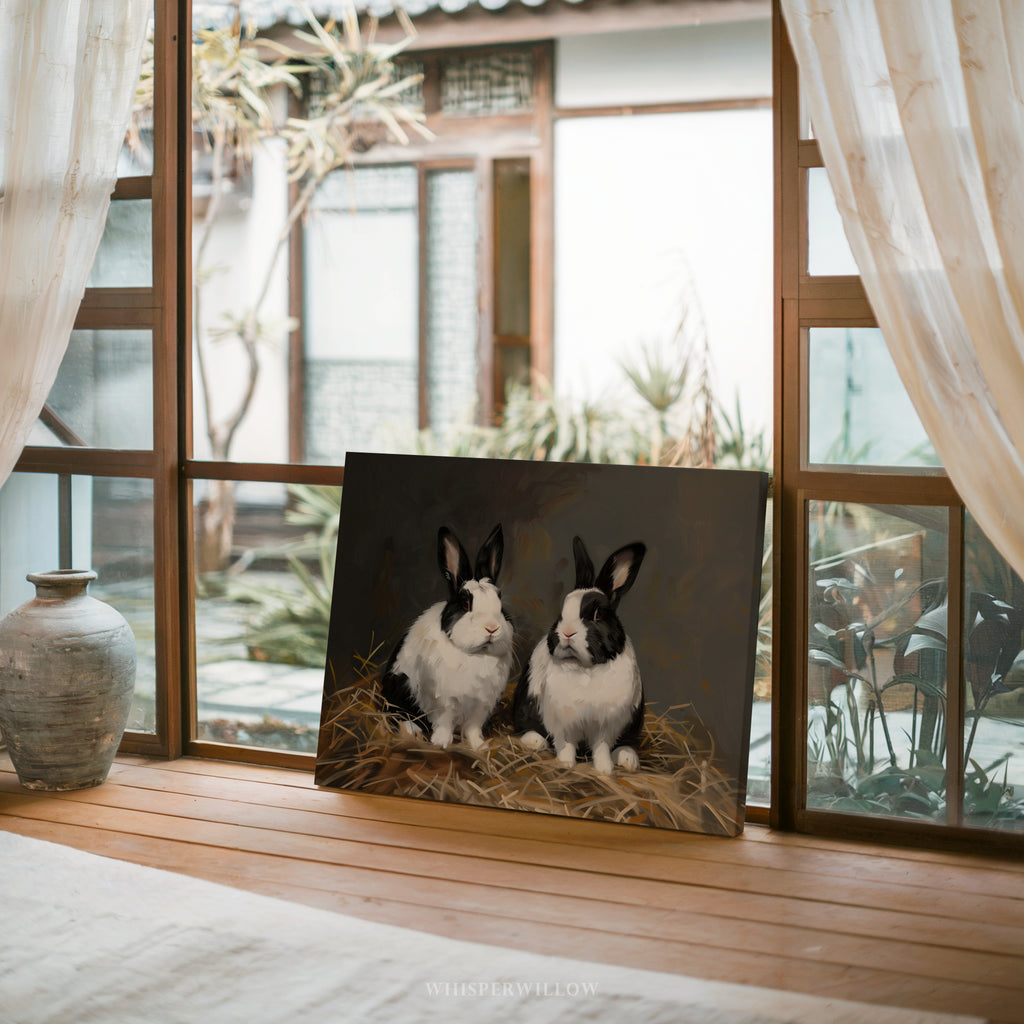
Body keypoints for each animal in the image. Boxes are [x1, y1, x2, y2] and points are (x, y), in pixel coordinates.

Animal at [380, 523, 515, 751]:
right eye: (465, 604)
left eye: (500, 602)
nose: (492, 628)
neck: (475, 655)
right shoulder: (443, 702)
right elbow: (444, 723)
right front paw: (441, 743)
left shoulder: (481, 706)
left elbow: (473, 729)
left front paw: (480, 746)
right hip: (400, 688)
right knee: (399, 714)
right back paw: (412, 732)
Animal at [513, 536, 646, 774]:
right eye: (561, 613)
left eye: (598, 614)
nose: (567, 632)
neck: (585, 668)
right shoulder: (563, 723)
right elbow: (566, 745)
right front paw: (565, 764)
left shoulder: (606, 725)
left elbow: (601, 748)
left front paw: (604, 771)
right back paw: (535, 742)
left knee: (624, 744)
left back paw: (628, 760)